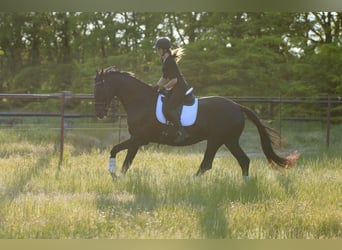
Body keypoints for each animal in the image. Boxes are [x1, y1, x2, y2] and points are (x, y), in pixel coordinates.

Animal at [94, 66, 300, 180]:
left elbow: (119, 154)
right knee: (243, 160)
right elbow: (123, 158)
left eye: (100, 87)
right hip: (229, 140)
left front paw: (114, 174)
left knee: (207, 164)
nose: (99, 113)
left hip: (217, 139)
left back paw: (190, 180)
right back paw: (245, 185)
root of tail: (237, 106)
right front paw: (117, 176)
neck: (141, 100)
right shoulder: (137, 139)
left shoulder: (139, 138)